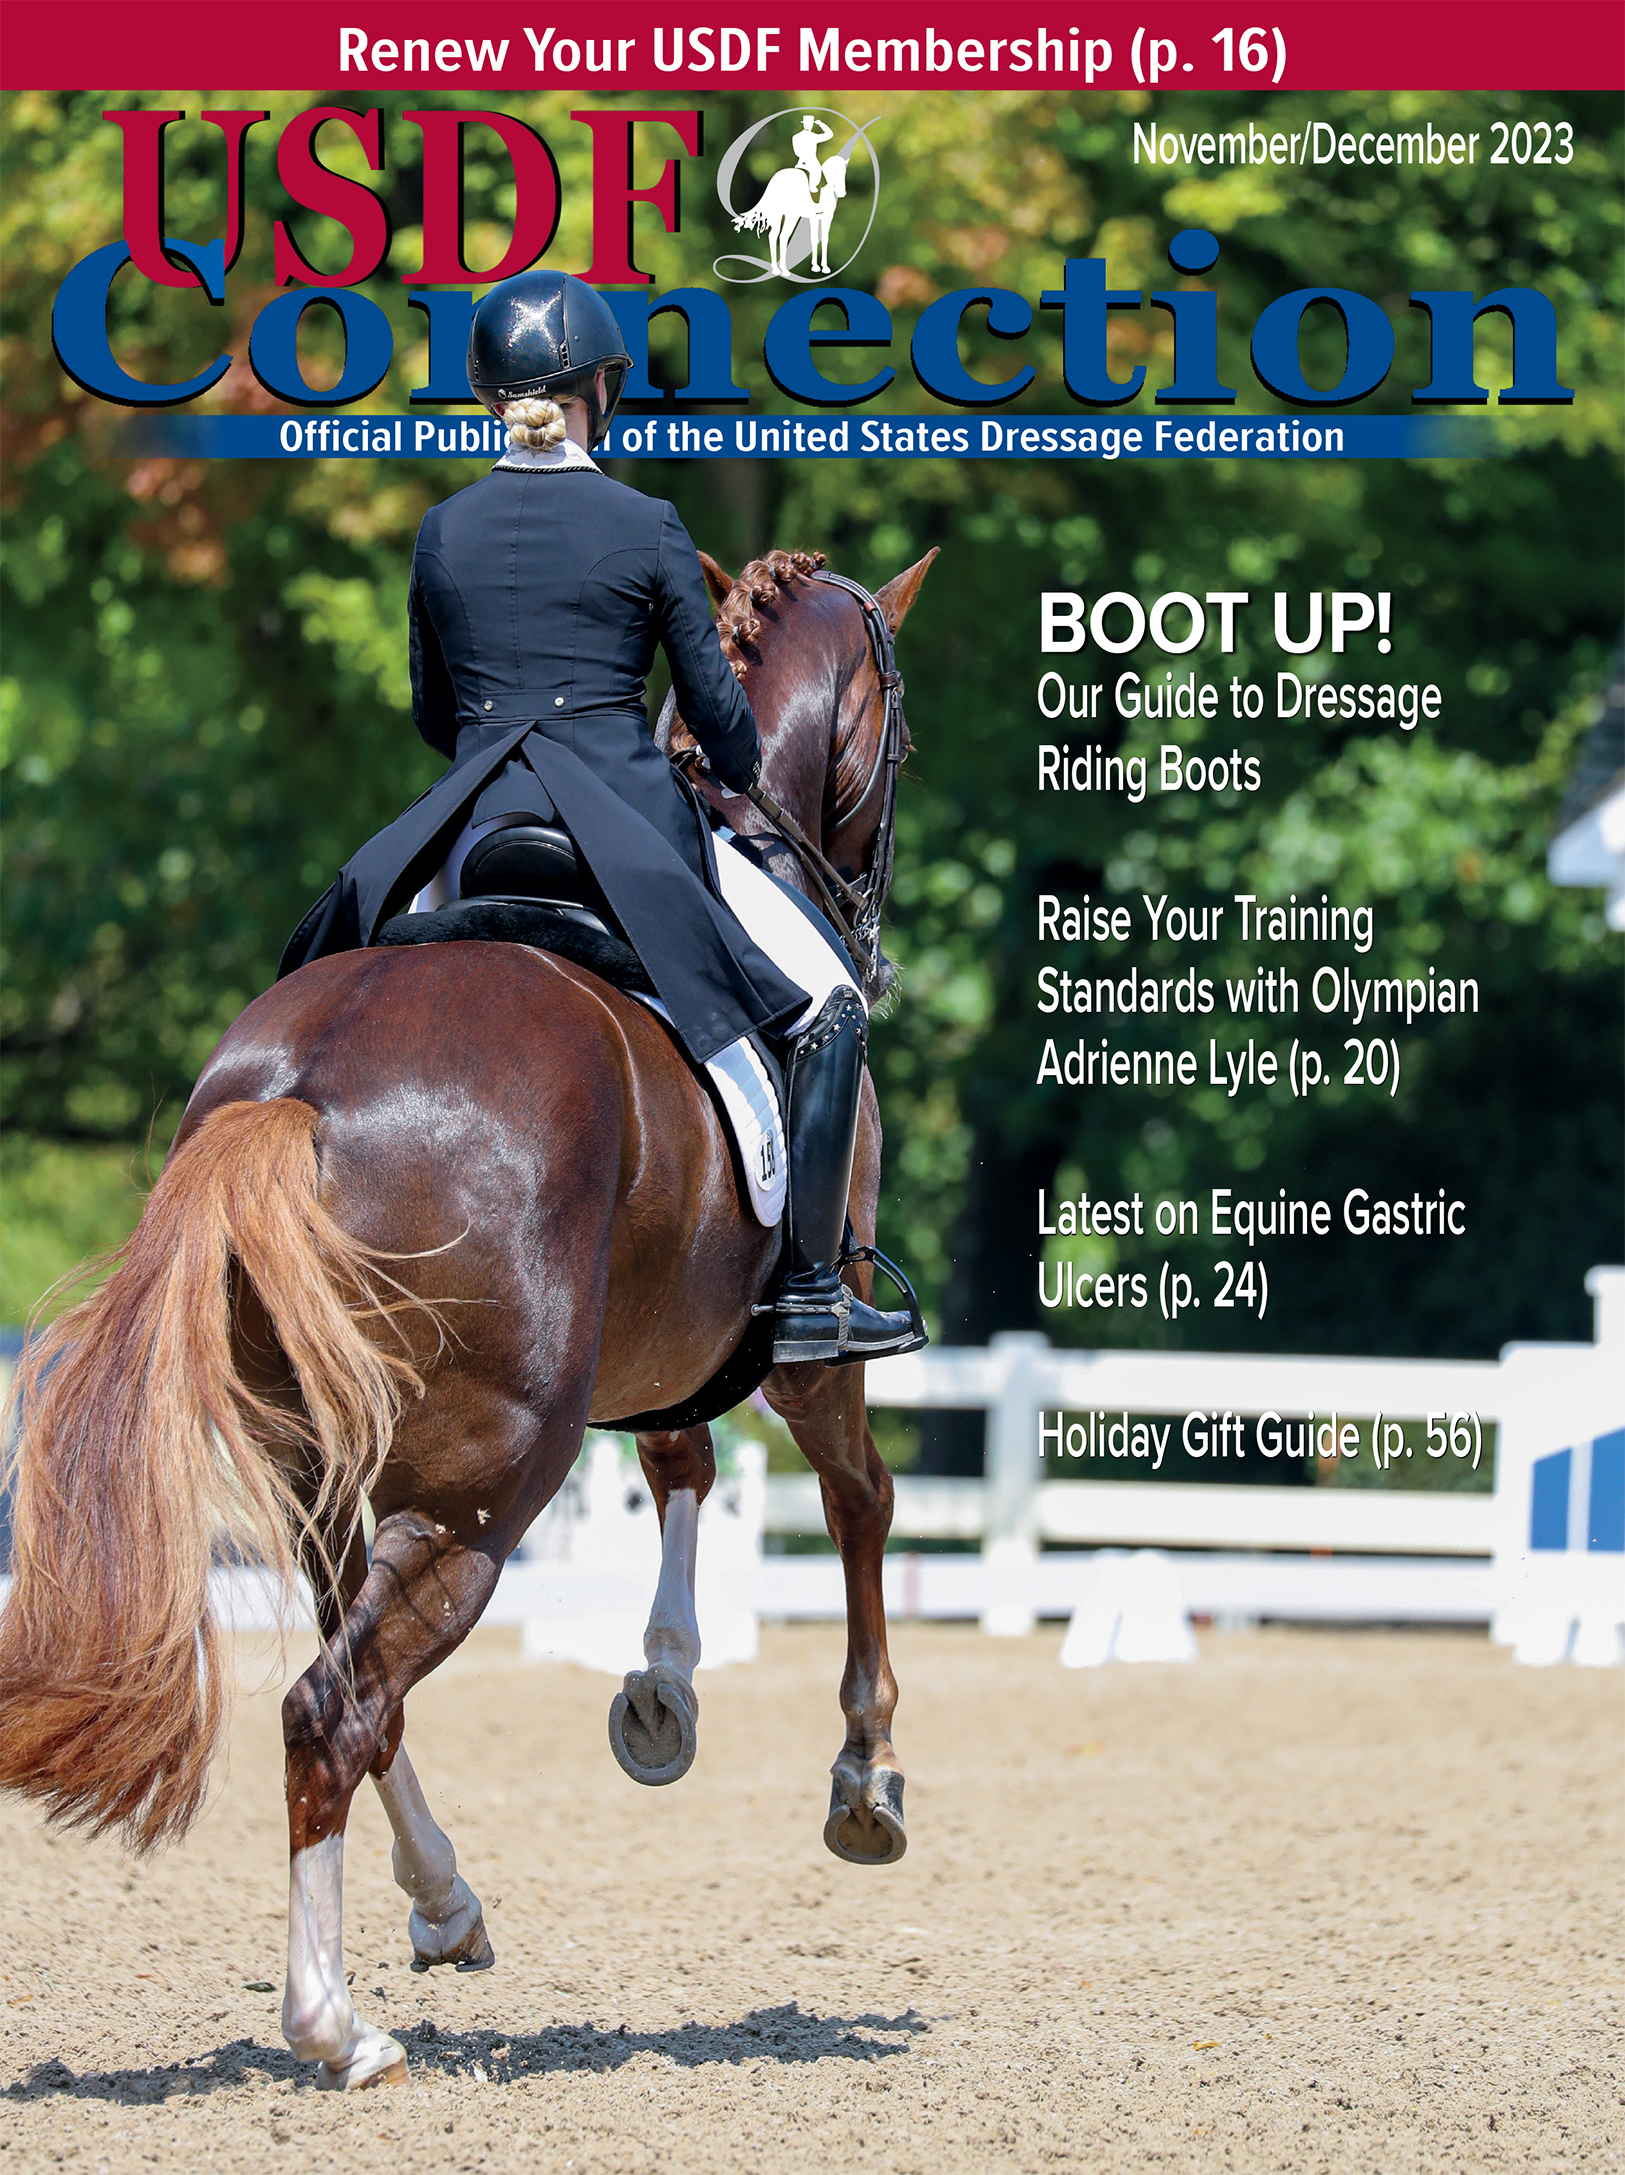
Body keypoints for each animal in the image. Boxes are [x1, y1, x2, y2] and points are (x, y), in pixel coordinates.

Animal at [0, 542, 937, 2092]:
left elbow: (679, 1459)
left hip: (338, 1470)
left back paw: (443, 1904)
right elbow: (857, 1499)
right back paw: (336, 2026)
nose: (869, 923)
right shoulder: (800, 1346)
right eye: (900, 733)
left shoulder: (654, 1340)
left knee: (353, 1684)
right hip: (489, 1477)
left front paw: (662, 1693)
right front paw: (863, 1776)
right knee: (333, 1702)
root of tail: (296, 1092)